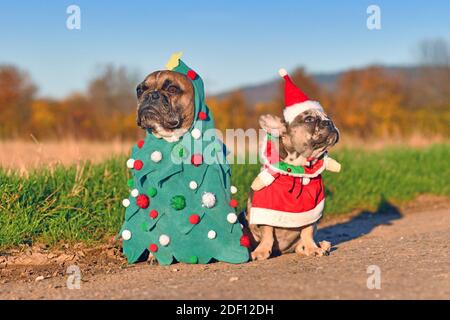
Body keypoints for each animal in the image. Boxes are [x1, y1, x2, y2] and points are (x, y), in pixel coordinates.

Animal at [248, 111, 340, 262]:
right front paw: (261, 251)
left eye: (328, 117)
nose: (329, 122)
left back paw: (321, 246)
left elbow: (307, 231)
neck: (297, 170)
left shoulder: (312, 208)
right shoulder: (265, 206)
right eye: (309, 119)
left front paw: (312, 248)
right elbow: (267, 231)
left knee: (300, 245)